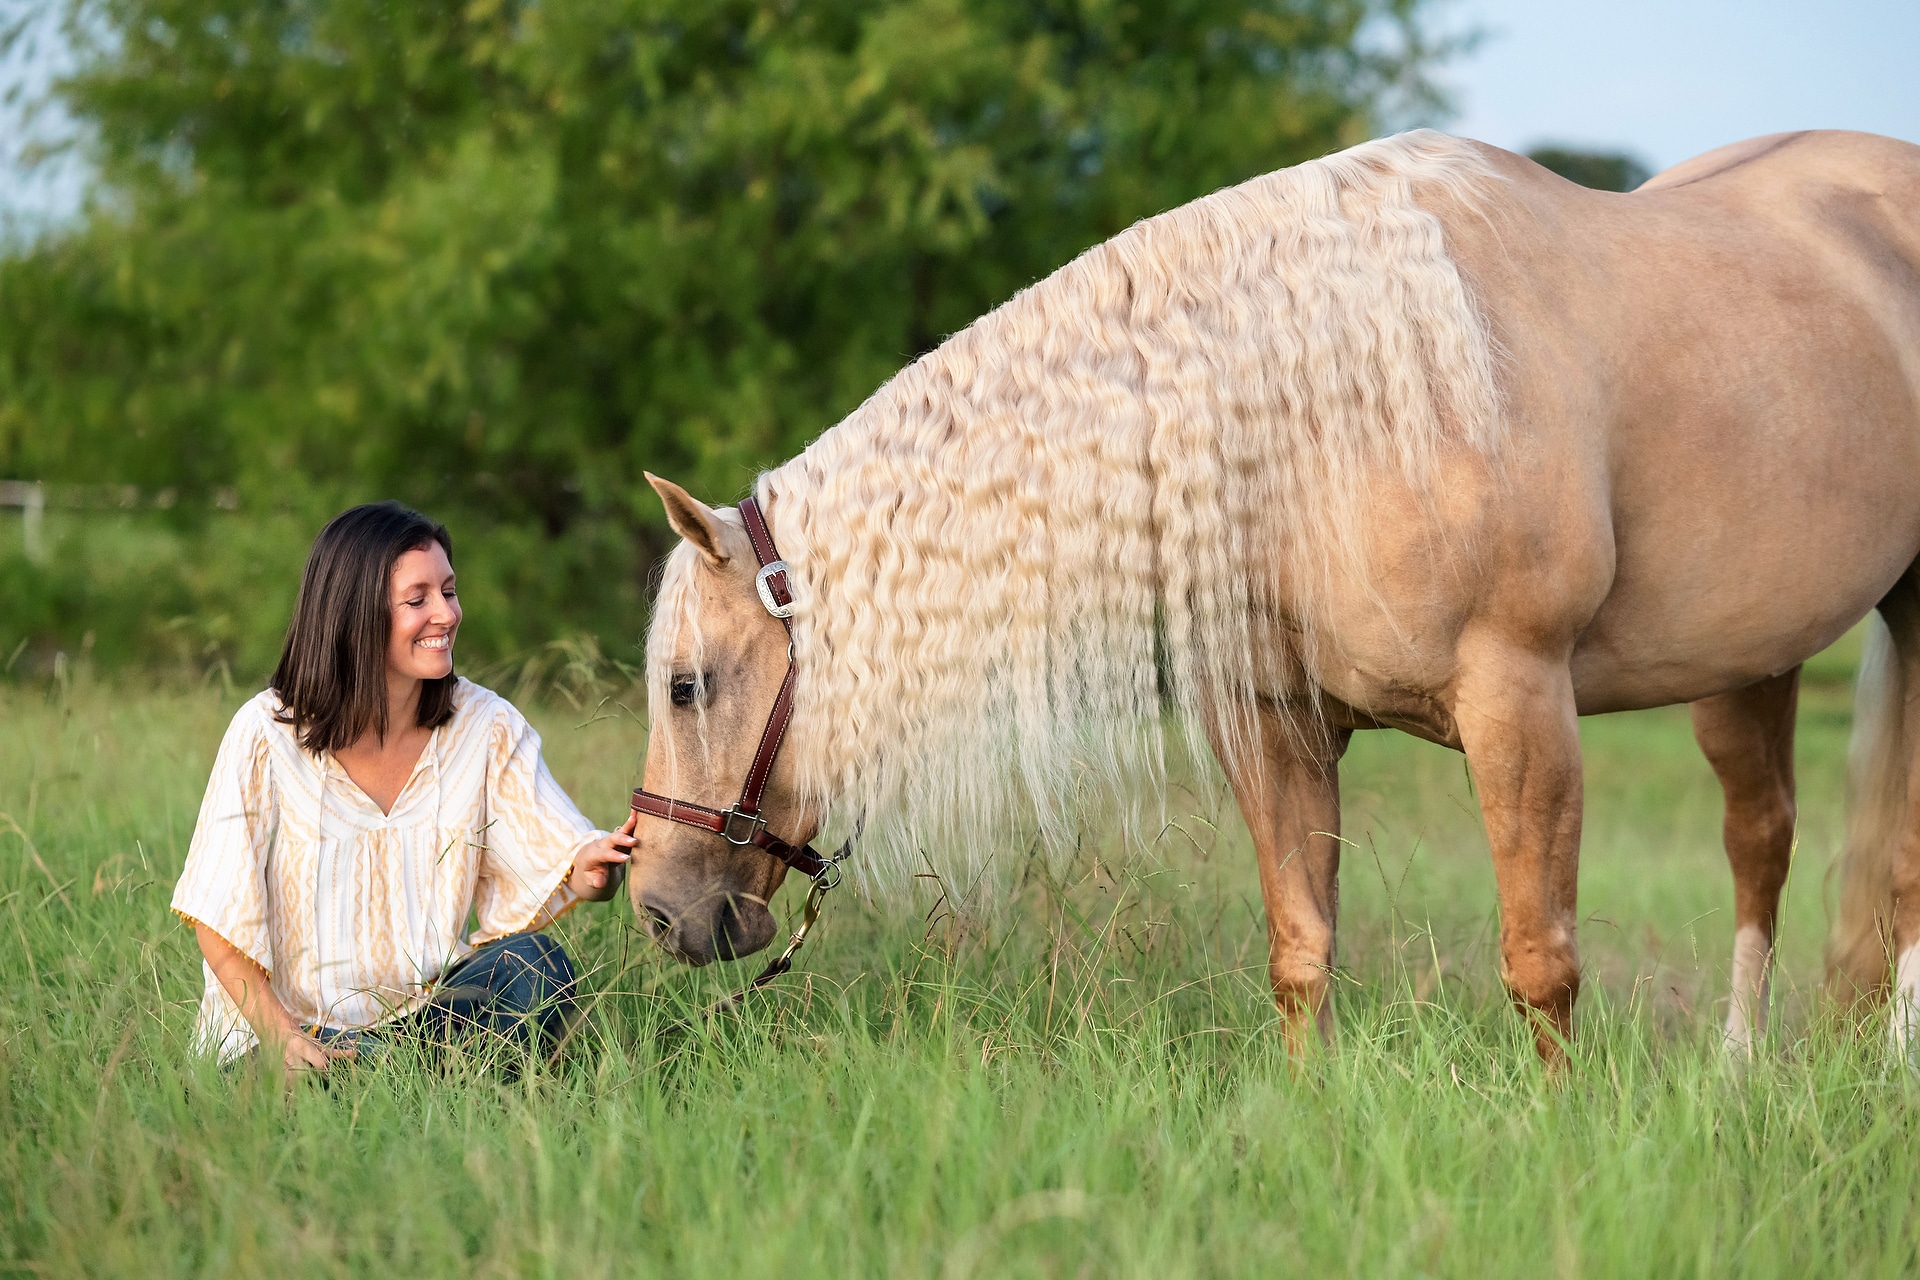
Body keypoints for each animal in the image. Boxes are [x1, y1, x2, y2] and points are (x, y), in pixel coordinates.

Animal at [625, 135, 1920, 1066]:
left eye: (690, 684)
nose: (655, 909)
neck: (1336, 411)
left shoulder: (1521, 705)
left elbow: (1539, 962)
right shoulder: (1281, 726)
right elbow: (1302, 953)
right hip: (1751, 660)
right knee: (1762, 840)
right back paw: (1740, 1071)